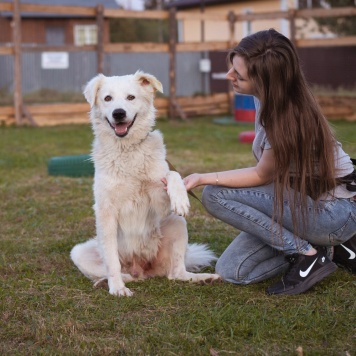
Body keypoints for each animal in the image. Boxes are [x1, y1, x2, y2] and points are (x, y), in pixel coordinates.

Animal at [70, 71, 221, 296]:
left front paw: (180, 199)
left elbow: (173, 174)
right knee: (123, 274)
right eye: (108, 98)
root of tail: (142, 268)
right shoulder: (106, 212)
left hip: (177, 223)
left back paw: (204, 278)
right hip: (80, 252)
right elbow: (112, 262)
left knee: (176, 273)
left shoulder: (159, 203)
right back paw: (107, 282)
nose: (118, 113)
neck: (127, 151)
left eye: (131, 97)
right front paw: (117, 288)